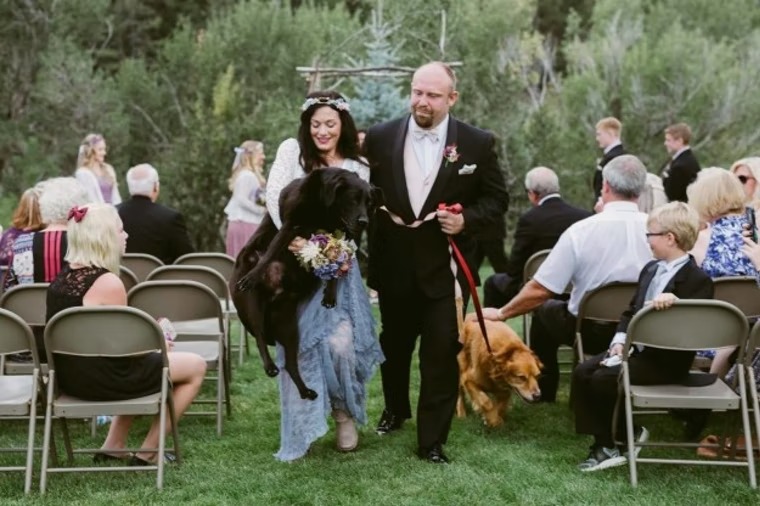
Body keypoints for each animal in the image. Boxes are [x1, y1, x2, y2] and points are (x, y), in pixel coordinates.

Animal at [230, 168, 376, 402]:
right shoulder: (290, 225)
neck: (324, 208)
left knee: (290, 364)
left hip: (289, 326)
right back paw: (269, 366)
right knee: (259, 335)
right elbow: (271, 251)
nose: (364, 221)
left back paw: (306, 391)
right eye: (353, 199)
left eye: (369, 203)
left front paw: (330, 296)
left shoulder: (339, 236)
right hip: (251, 305)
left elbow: (334, 268)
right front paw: (253, 275)